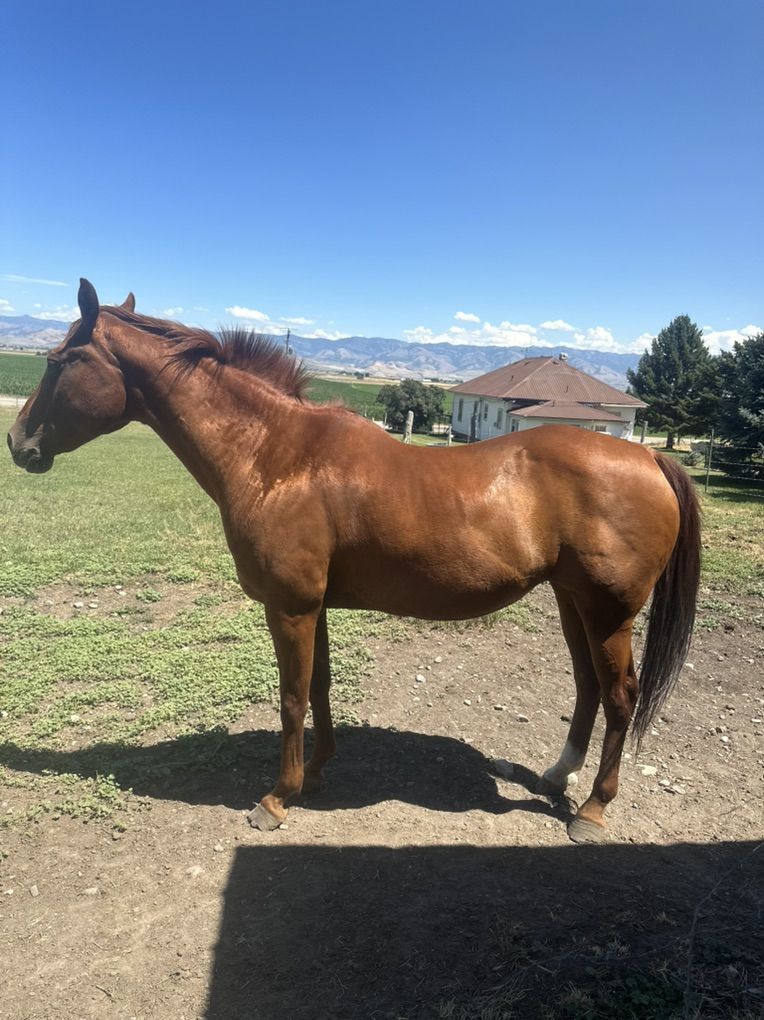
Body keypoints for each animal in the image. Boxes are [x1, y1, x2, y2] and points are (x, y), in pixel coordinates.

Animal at [8, 279, 701, 843]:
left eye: (59, 360)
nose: (17, 443)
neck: (275, 456)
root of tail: (647, 456)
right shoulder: (311, 606)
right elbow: (318, 687)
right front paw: (315, 771)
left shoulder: (289, 607)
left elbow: (291, 696)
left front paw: (276, 798)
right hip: (572, 602)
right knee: (588, 688)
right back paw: (557, 776)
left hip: (608, 612)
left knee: (621, 697)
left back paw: (591, 810)